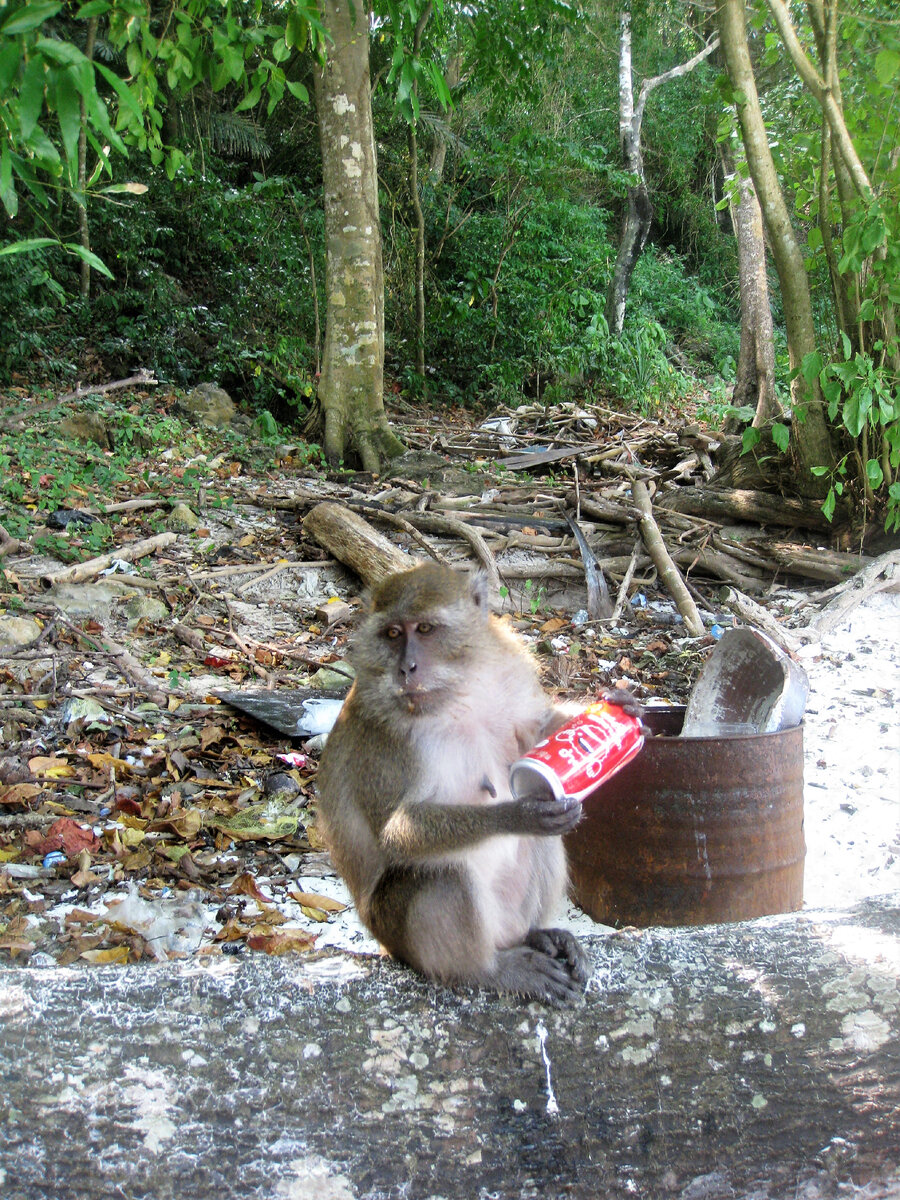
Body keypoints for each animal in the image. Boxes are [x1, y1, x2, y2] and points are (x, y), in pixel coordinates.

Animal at [316, 561, 643, 1003]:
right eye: (392, 634)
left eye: (425, 629)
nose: (406, 669)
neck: (457, 691)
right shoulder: (383, 739)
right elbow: (396, 834)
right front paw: (519, 814)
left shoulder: (509, 665)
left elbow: (536, 731)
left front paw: (619, 709)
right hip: (398, 933)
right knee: (441, 876)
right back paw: (492, 971)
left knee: (541, 848)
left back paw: (538, 935)